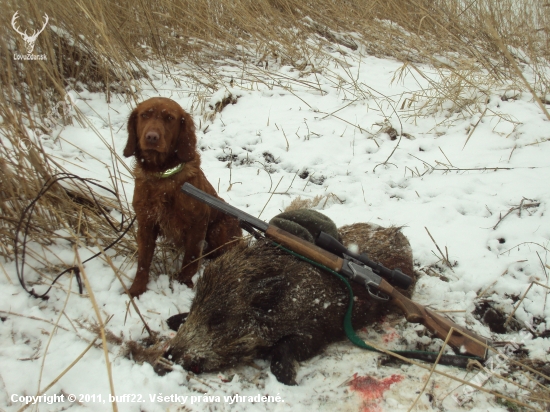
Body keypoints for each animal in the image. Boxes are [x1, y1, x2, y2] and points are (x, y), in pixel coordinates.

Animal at [125, 97, 242, 296]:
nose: (152, 137)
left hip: (219, 230)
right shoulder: (146, 222)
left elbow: (191, 258)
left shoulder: (198, 222)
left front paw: (184, 284)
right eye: (144, 115)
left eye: (169, 118)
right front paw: (136, 289)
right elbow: (143, 261)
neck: (162, 176)